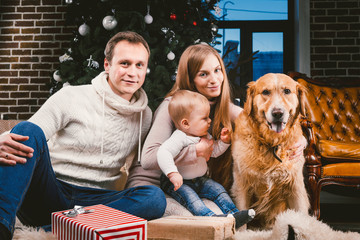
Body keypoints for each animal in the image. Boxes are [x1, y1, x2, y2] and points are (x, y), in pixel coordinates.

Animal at [231, 72, 310, 229]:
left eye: (287, 91)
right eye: (266, 92)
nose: (278, 113)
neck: (272, 143)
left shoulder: (296, 187)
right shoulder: (242, 184)